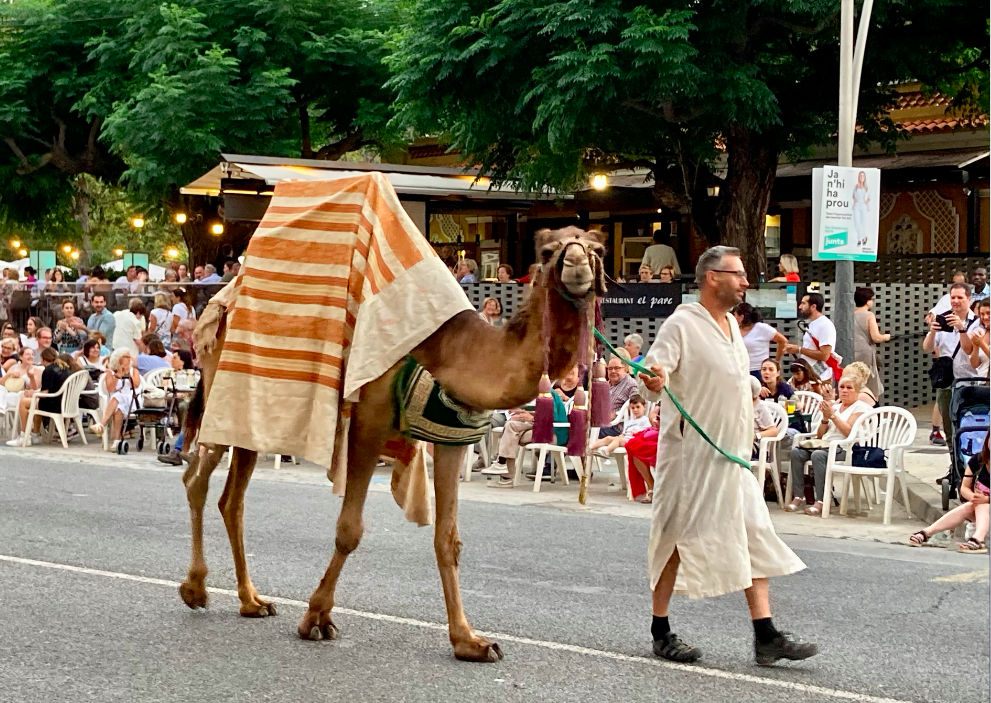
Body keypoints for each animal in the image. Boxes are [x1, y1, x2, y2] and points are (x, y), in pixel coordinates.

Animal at [182, 228, 608, 664]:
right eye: (549, 251)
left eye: (597, 250)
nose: (577, 266)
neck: (456, 352)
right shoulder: (369, 422)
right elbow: (349, 530)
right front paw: (316, 617)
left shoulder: (453, 439)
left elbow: (448, 539)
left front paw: (469, 640)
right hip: (227, 394)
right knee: (198, 480)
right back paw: (196, 589)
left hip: (253, 421)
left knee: (230, 499)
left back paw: (250, 601)